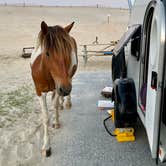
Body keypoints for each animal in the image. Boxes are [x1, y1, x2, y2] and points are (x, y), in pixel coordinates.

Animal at [30, 21, 78, 157]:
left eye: (68, 52)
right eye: (47, 53)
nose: (66, 89)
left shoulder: (58, 87)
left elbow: (54, 105)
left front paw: (56, 122)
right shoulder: (40, 92)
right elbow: (46, 117)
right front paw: (46, 146)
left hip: (69, 77)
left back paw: (67, 103)